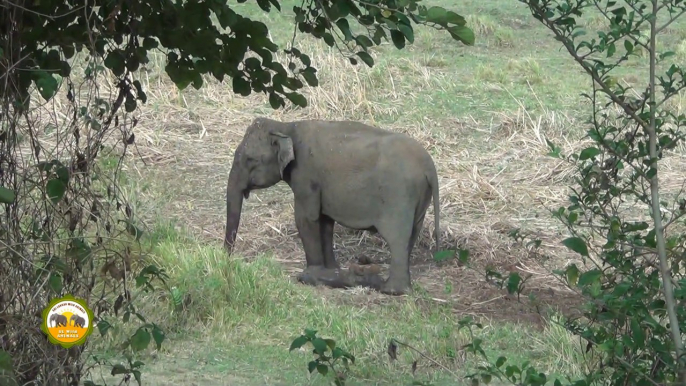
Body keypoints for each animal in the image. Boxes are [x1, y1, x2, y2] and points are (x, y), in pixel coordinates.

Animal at [223, 117, 444, 296]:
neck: (286, 126)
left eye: (250, 159)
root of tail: (430, 168)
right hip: (419, 198)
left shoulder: (306, 175)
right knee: (411, 235)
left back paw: (390, 290)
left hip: (398, 196)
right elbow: (325, 222)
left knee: (396, 237)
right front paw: (332, 269)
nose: (228, 259)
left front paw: (310, 274)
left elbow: (306, 219)